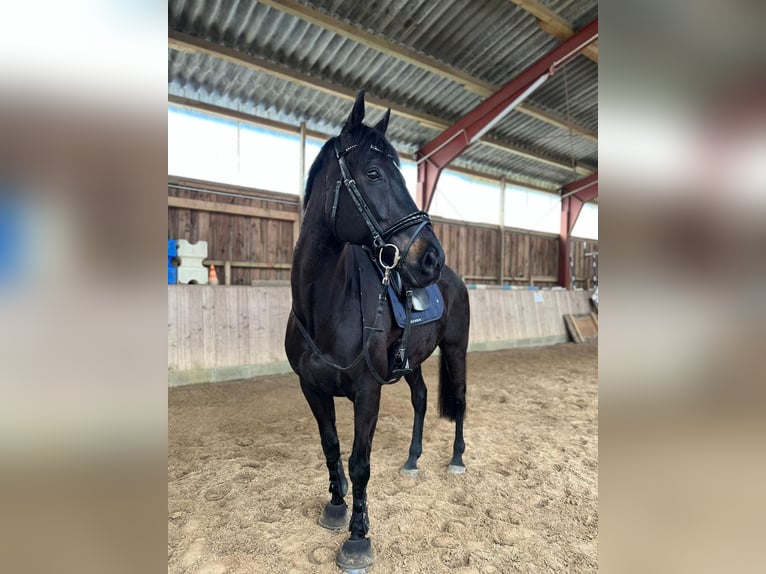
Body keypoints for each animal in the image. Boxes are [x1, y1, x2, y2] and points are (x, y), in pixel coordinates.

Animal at [284, 90, 470, 571]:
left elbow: (359, 463)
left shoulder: (368, 392)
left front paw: (358, 538)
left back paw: (457, 459)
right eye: (372, 172)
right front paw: (335, 507)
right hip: (413, 362)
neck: (325, 306)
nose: (431, 257)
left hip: (456, 350)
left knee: (460, 401)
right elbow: (331, 447)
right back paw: (412, 461)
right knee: (422, 399)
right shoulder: (311, 388)